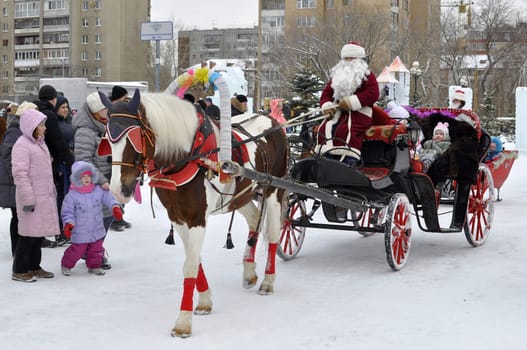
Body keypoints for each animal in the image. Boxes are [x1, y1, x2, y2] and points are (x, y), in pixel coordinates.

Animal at [99, 89, 288, 336]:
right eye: (108, 141)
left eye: (134, 139)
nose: (117, 190)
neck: (188, 157)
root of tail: (273, 121)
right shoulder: (178, 218)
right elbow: (194, 259)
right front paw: (205, 301)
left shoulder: (197, 218)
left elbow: (189, 265)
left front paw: (183, 322)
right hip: (240, 196)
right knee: (255, 219)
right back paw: (249, 272)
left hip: (274, 190)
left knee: (274, 233)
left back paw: (268, 281)